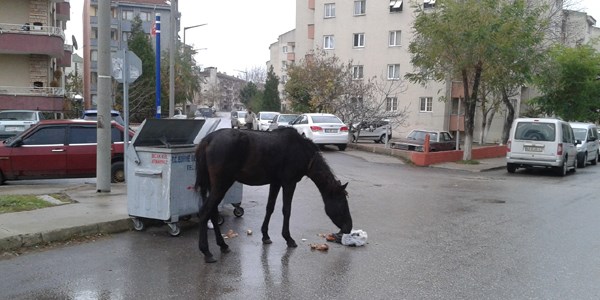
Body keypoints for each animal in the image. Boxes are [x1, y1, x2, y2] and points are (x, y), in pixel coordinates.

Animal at [195, 126, 352, 262]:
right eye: (343, 203)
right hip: (221, 185)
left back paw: (223, 245)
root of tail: (208, 139)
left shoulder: (275, 183)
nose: (348, 228)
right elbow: (286, 210)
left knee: (213, 212)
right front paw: (288, 238)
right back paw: (206, 251)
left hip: (214, 186)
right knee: (205, 212)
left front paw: (265, 235)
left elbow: (270, 208)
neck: (303, 152)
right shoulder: (289, 183)